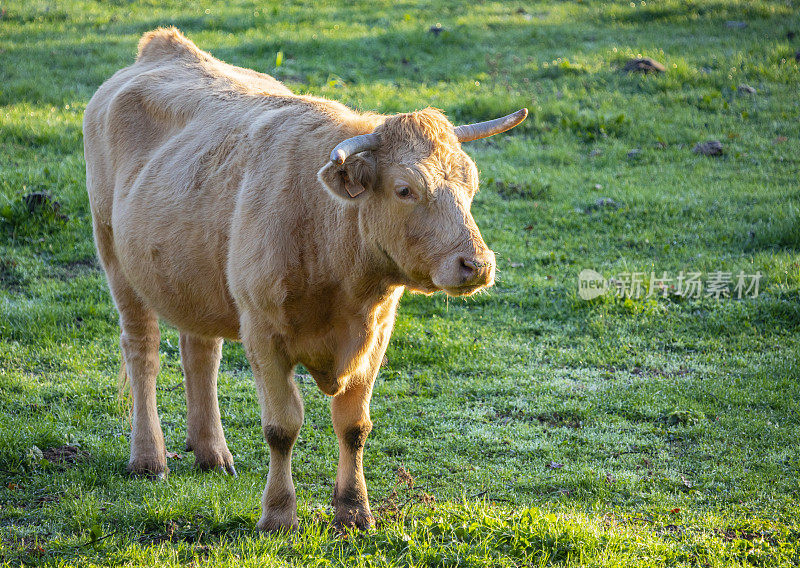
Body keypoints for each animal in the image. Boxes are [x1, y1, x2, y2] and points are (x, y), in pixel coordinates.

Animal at [84, 27, 528, 532]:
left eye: (471, 183)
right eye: (405, 189)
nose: (477, 265)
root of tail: (163, 46)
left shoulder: (376, 334)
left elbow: (354, 426)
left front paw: (354, 511)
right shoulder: (263, 333)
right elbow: (282, 427)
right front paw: (278, 514)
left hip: (192, 276)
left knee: (200, 354)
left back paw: (212, 453)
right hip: (116, 260)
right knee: (143, 351)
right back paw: (148, 458)